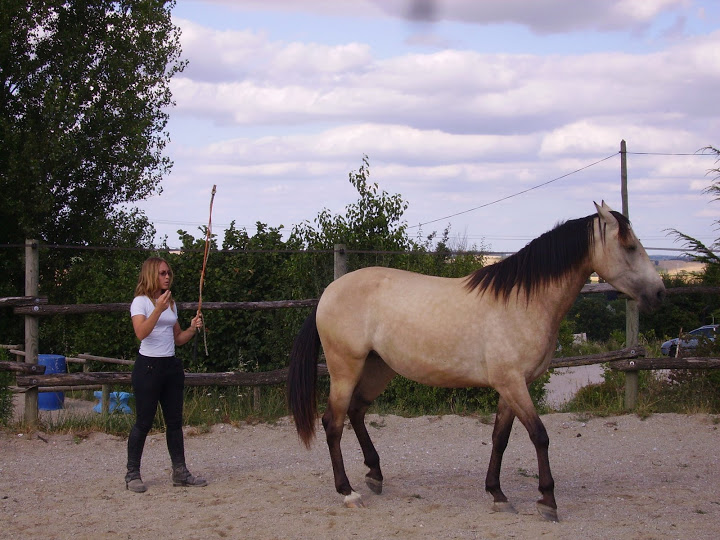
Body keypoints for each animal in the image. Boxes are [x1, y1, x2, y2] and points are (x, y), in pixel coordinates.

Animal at [286, 200, 664, 520]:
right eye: (629, 246)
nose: (659, 293)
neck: (522, 302)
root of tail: (329, 292)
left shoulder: (512, 386)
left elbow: (500, 437)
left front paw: (498, 494)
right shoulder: (512, 383)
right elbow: (539, 436)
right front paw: (547, 501)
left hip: (379, 368)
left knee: (356, 412)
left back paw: (375, 475)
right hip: (345, 369)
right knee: (333, 422)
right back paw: (347, 492)